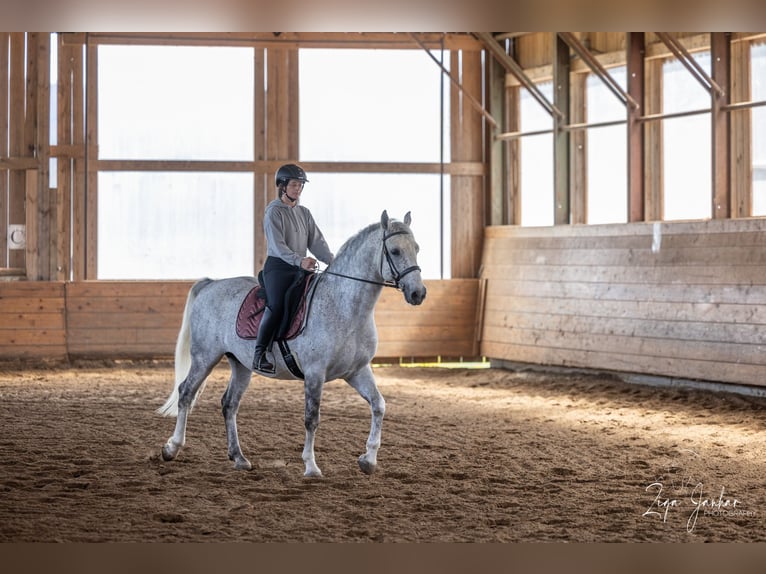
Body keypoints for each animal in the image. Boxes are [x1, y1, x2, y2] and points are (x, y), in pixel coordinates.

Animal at [156, 210, 426, 476]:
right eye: (395, 251)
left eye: (416, 248)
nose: (418, 293)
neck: (344, 306)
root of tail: (211, 284)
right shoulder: (315, 373)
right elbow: (311, 418)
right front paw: (311, 466)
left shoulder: (357, 371)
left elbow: (379, 405)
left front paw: (368, 460)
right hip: (205, 357)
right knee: (186, 393)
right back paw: (171, 448)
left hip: (240, 365)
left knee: (229, 404)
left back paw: (239, 457)